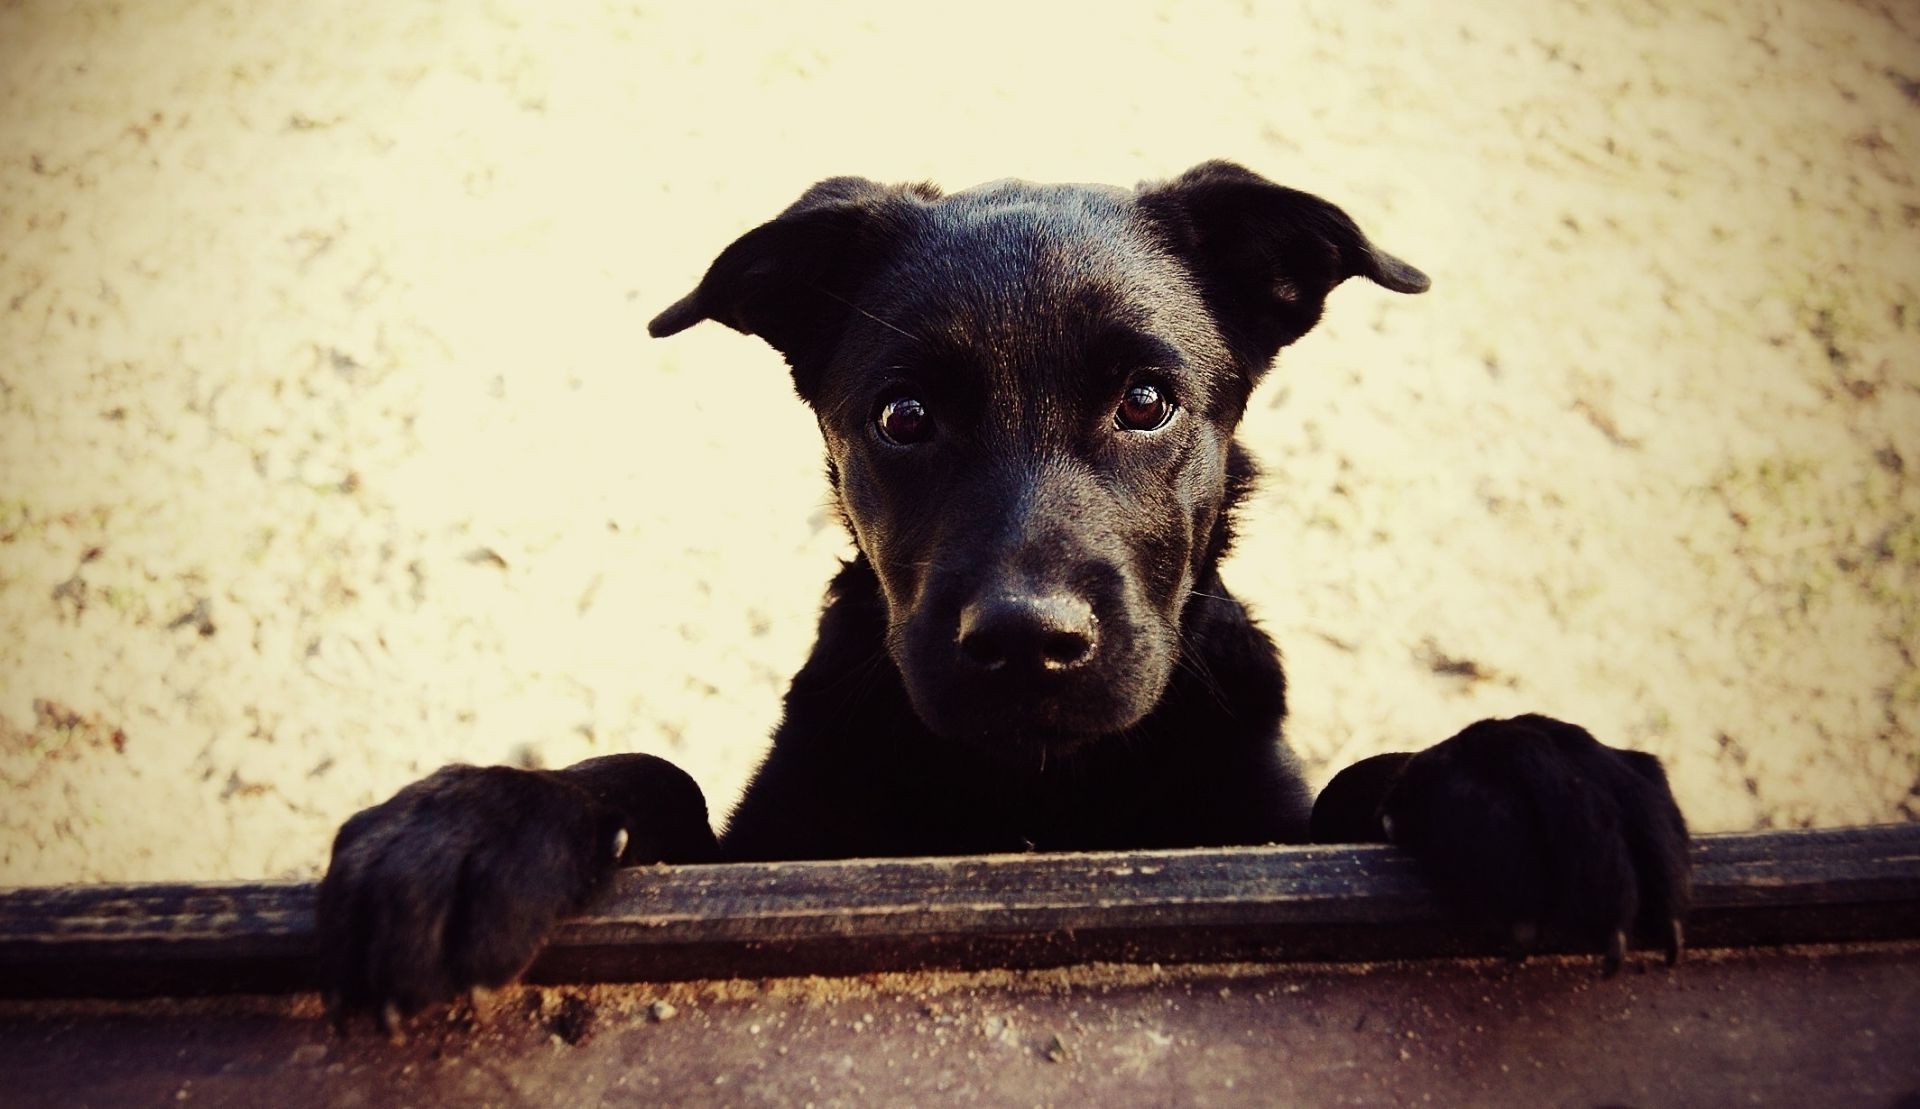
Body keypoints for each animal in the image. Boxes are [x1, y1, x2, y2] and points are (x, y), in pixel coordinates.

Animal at [322, 162, 1689, 1028]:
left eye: (1147, 399)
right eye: (903, 417)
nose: (1031, 643)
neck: (1032, 793)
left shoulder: (1265, 817)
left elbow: (1365, 780)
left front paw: (1527, 765)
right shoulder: (769, 847)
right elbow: (653, 776)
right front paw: (474, 821)